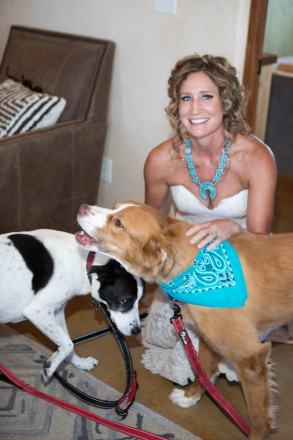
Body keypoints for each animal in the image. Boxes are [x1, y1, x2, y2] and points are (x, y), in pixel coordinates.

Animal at [0, 230, 143, 382]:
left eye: (139, 301)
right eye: (126, 300)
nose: (136, 330)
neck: (82, 261)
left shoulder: (57, 312)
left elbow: (68, 344)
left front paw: (80, 363)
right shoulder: (37, 311)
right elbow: (68, 344)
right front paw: (50, 368)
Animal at [76, 201, 293, 438]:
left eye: (118, 223)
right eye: (114, 207)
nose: (82, 207)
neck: (193, 268)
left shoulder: (251, 360)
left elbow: (258, 418)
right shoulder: (208, 340)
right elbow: (203, 372)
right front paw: (191, 397)